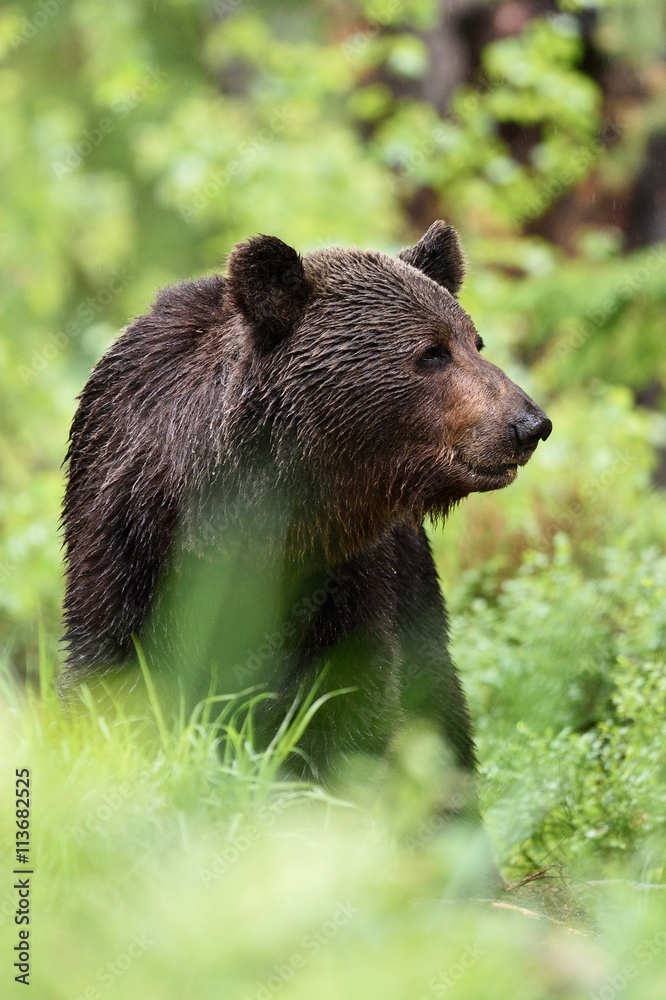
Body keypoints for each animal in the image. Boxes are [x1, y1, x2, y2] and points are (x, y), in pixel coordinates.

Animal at [61, 220, 551, 809]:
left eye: (474, 342)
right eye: (432, 352)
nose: (529, 424)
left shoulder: (343, 582)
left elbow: (345, 712)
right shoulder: (126, 546)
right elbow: (112, 685)